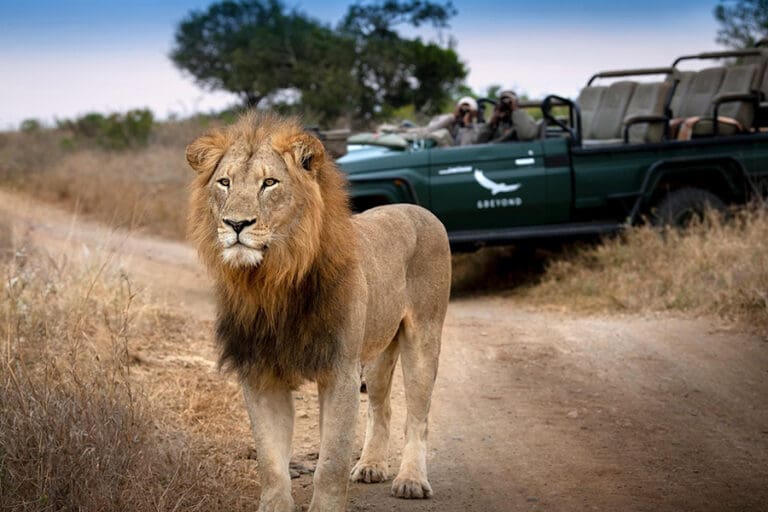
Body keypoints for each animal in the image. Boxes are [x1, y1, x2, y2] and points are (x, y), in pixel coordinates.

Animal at [186, 112, 451, 512]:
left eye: (269, 183)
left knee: (419, 416)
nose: (236, 224)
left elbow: (331, 461)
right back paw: (371, 465)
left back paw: (411, 481)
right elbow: (271, 463)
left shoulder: (340, 370)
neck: (271, 281)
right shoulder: (261, 374)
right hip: (377, 349)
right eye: (224, 182)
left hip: (423, 337)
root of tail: (419, 209)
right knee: (381, 407)